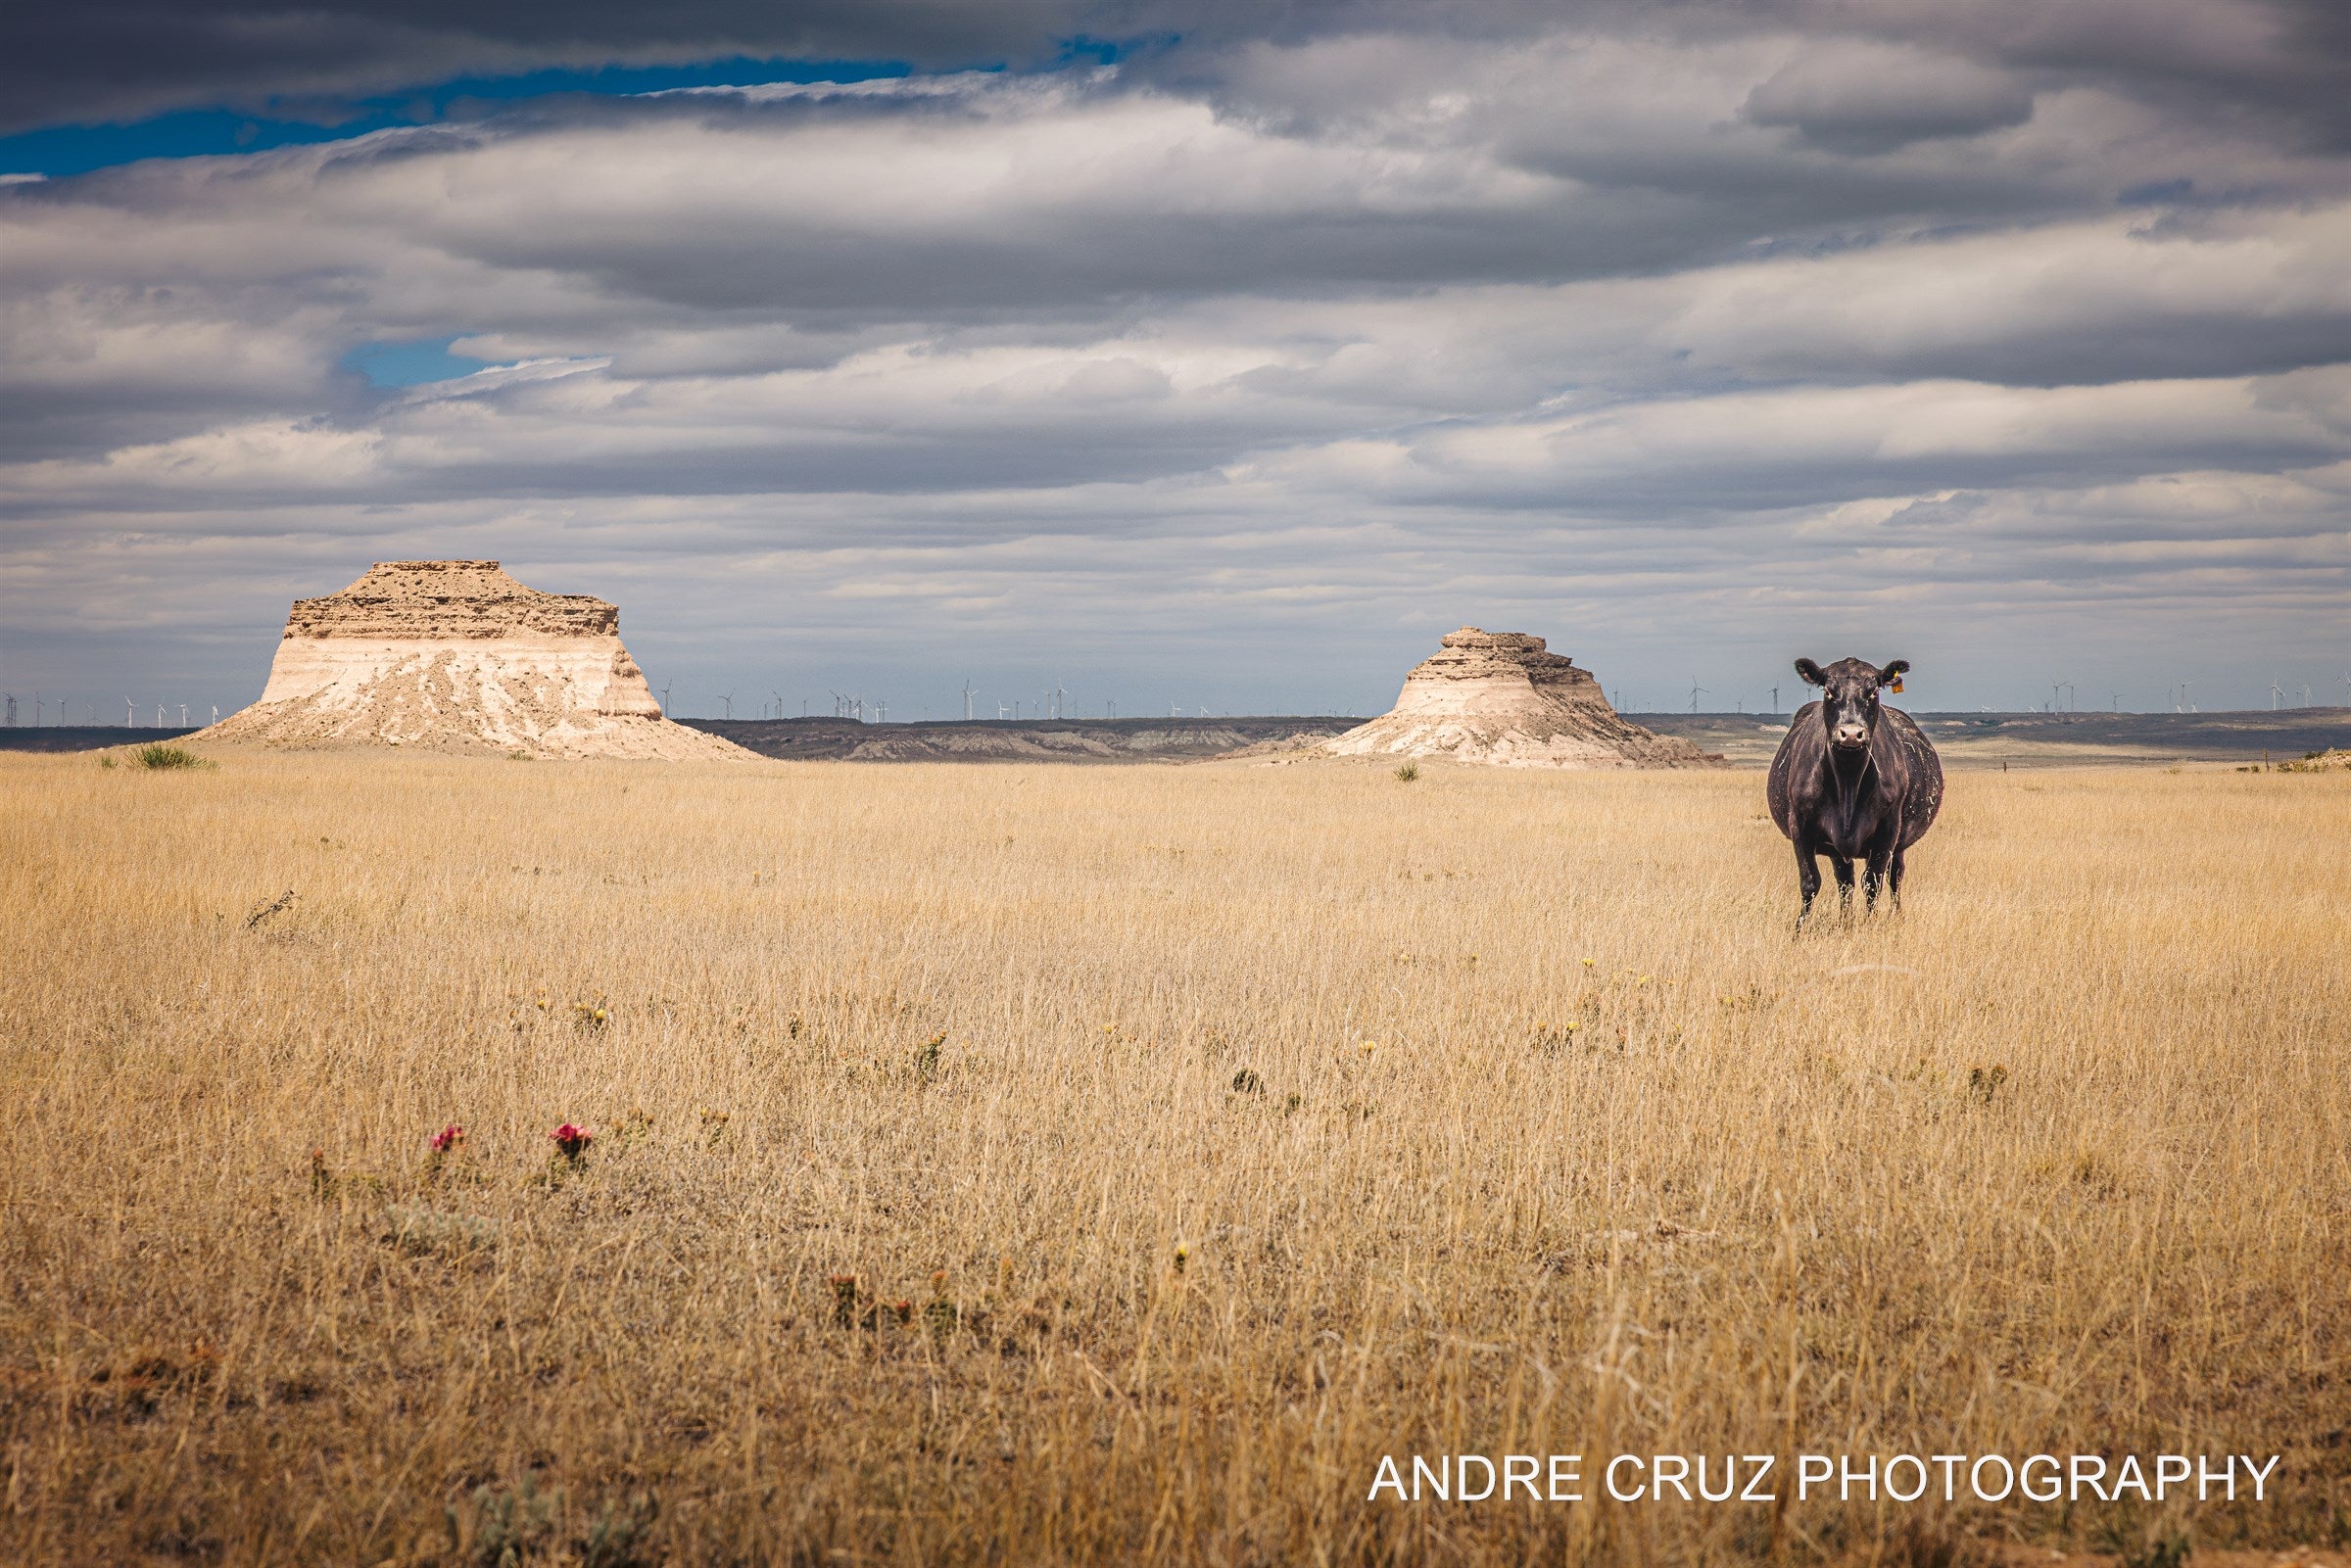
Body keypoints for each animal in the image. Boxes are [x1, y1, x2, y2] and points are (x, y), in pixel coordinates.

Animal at [1766, 657, 1944, 930]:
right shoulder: (1800, 825)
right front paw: (1798, 929)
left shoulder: (1888, 830)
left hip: (1898, 844)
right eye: (1828, 691)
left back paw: (1895, 916)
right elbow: (1810, 882)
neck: (1847, 783)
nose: (1850, 734)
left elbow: (1873, 883)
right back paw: (1845, 921)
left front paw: (1871, 926)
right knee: (1845, 882)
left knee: (1895, 877)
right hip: (1837, 850)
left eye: (1873, 692)